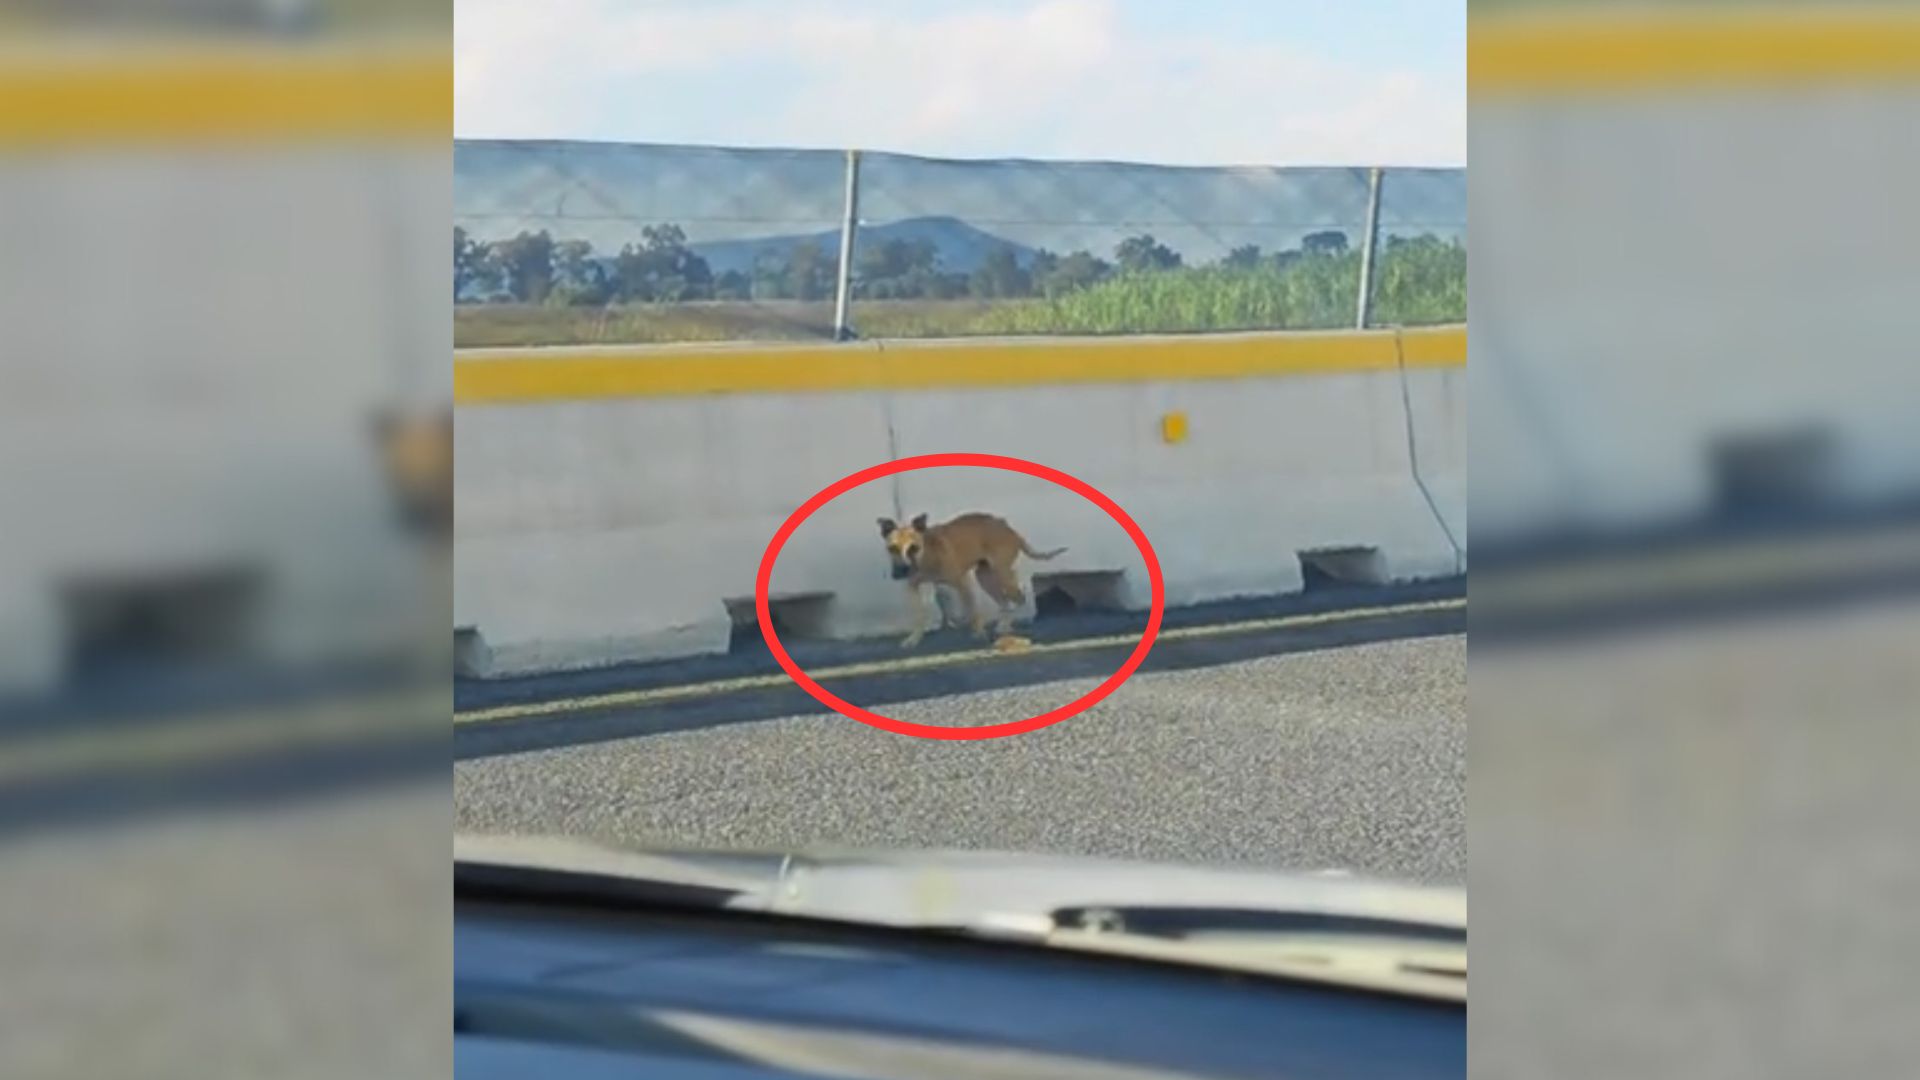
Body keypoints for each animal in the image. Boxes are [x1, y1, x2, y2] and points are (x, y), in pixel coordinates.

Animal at [879, 511, 1067, 645]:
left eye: (914, 548)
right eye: (892, 548)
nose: (899, 572)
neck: (927, 555)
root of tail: (1009, 528)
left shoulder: (963, 583)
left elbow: (973, 612)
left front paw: (978, 633)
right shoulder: (912, 588)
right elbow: (919, 616)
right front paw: (914, 638)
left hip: (1003, 575)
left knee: (1019, 597)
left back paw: (1012, 623)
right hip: (984, 577)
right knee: (1004, 602)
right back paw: (1002, 625)